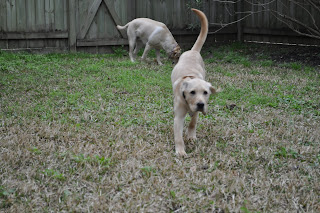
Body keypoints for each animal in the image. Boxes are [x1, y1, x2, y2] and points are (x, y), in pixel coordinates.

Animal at [170, 8, 220, 156]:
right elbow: (178, 136)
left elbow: (193, 123)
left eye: (206, 93)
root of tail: (193, 51)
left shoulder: (197, 112)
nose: (200, 104)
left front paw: (191, 137)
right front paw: (180, 151)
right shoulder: (178, 117)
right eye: (192, 92)